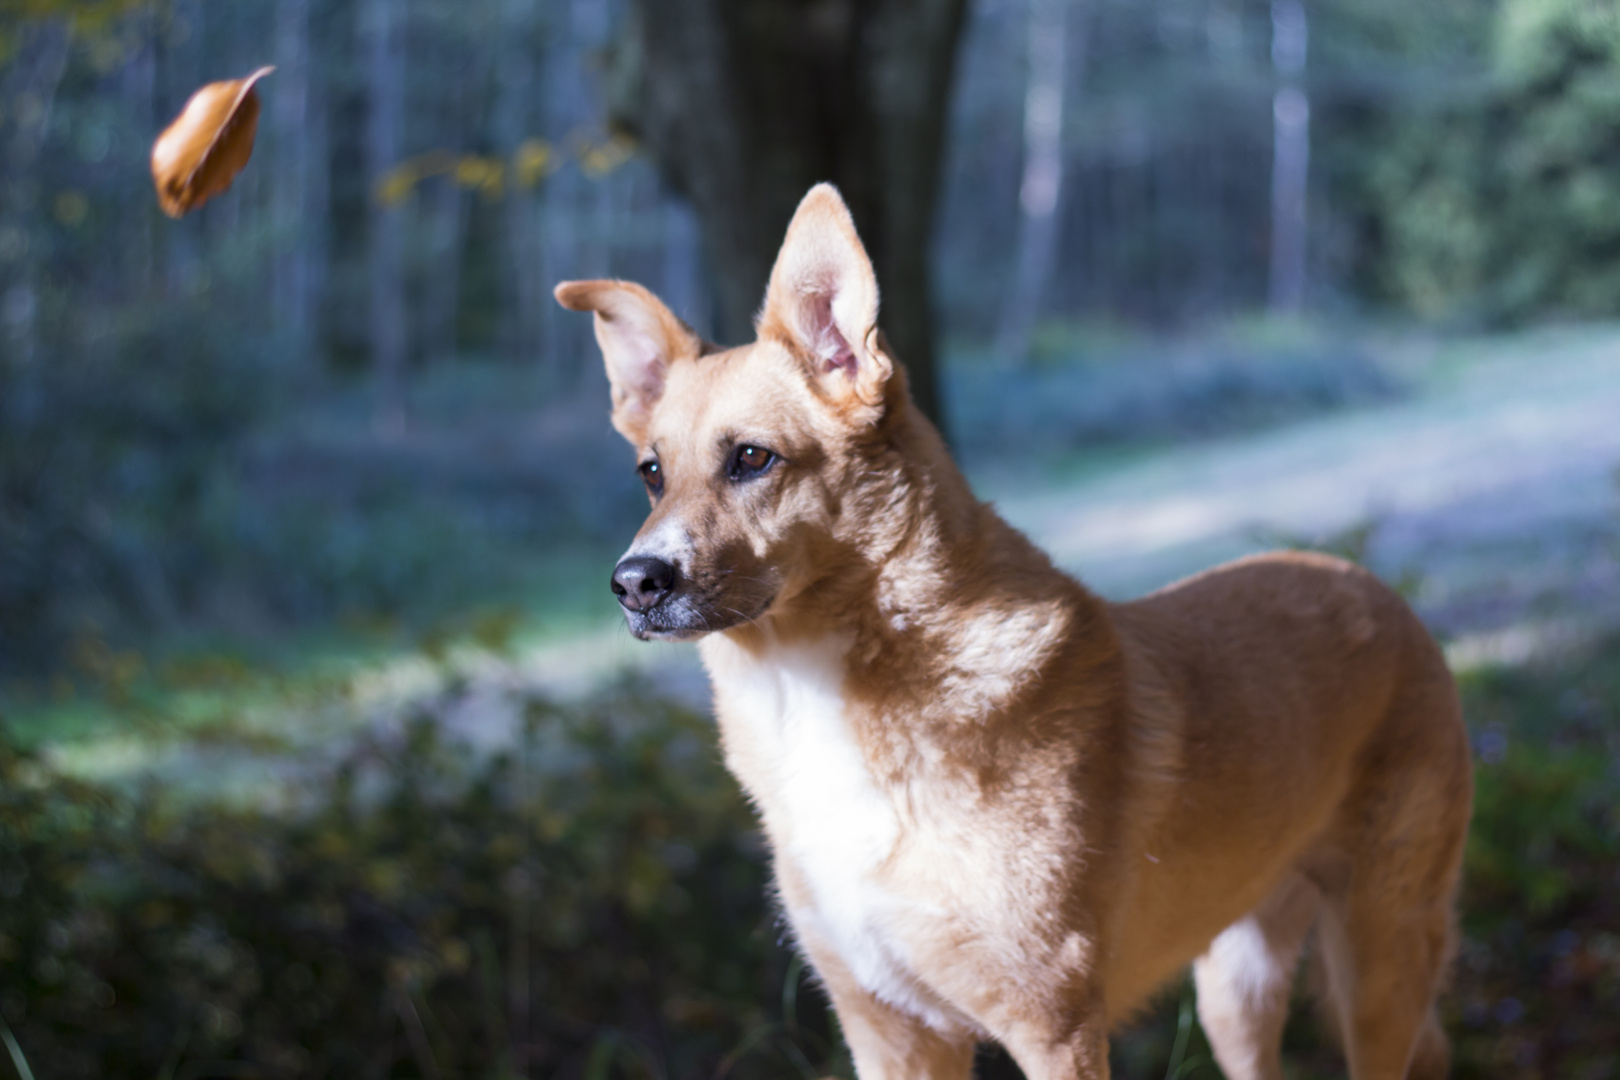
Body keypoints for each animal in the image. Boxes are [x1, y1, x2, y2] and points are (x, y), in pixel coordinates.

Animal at [554, 186, 1470, 1080]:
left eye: (751, 459)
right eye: (651, 474)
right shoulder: (890, 1034)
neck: (817, 691)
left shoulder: (1054, 1028)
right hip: (1235, 991)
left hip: (1379, 967)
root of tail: (1368, 585)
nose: (633, 585)